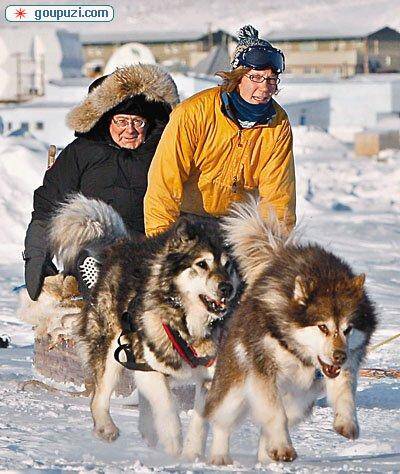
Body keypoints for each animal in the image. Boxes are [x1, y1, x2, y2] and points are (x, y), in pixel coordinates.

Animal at [48, 193, 239, 460]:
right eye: (202, 264)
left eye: (228, 265)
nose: (226, 288)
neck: (185, 322)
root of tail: (120, 245)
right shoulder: (147, 367)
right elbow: (167, 408)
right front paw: (174, 445)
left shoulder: (209, 376)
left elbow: (200, 420)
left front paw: (191, 454)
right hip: (112, 349)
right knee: (100, 396)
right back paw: (106, 427)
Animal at [205, 199, 376, 462]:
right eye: (323, 327)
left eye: (348, 329)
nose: (339, 356)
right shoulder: (263, 371)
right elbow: (276, 413)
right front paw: (283, 447)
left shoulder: (344, 365)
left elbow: (345, 391)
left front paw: (347, 422)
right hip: (235, 392)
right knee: (220, 419)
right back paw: (220, 456)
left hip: (301, 401)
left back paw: (266, 454)